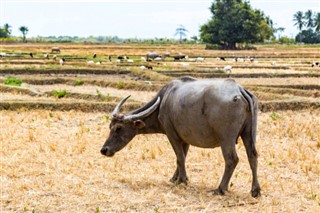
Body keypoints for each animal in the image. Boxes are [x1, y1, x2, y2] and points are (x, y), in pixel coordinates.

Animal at [101, 76, 262, 198]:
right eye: (110, 126)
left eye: (118, 128)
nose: (104, 150)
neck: (163, 102)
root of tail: (239, 90)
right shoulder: (185, 139)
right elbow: (182, 156)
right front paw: (175, 178)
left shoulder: (172, 135)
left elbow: (179, 157)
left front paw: (183, 180)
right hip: (248, 134)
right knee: (252, 156)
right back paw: (255, 190)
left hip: (226, 139)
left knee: (232, 159)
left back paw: (220, 188)